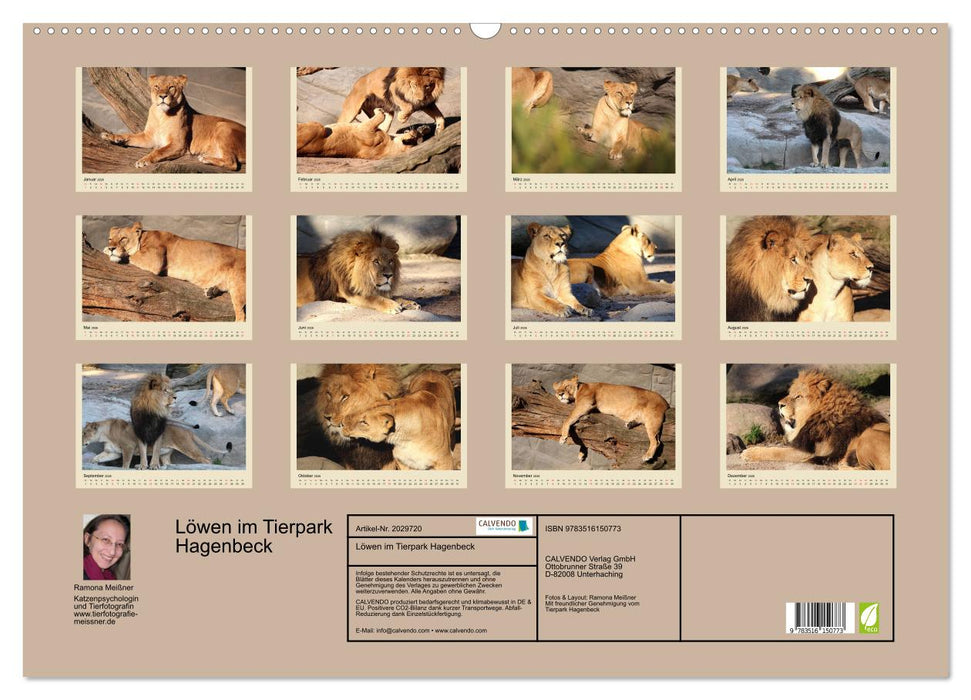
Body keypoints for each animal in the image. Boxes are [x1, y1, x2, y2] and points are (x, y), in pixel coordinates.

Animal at [83, 419, 228, 468]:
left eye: (84, 433)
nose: (82, 441)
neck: (105, 434)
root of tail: (187, 430)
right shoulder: (112, 452)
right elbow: (98, 457)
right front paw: (91, 463)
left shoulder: (128, 447)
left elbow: (125, 463)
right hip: (165, 454)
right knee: (168, 463)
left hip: (188, 447)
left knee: (207, 459)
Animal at [100, 74, 246, 171]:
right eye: (157, 86)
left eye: (171, 87)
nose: (162, 96)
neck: (161, 115)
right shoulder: (148, 138)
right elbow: (129, 135)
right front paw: (112, 137)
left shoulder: (178, 144)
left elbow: (158, 152)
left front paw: (143, 160)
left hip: (223, 126)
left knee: (232, 163)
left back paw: (206, 159)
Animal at [103, 222, 247, 322]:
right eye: (110, 239)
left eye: (123, 238)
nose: (111, 248)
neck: (143, 238)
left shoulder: (154, 259)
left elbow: (131, 255)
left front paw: (109, 252)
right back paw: (212, 290)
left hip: (238, 285)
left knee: (242, 315)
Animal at [297, 109, 431, 159]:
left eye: (413, 138)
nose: (415, 131)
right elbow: (386, 122)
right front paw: (424, 129)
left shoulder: (365, 130)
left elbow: (379, 117)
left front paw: (379, 110)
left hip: (318, 127)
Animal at [740, 370, 890, 470]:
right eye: (791, 393)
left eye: (798, 396)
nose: (779, 404)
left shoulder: (809, 451)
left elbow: (776, 451)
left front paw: (749, 452)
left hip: (869, 434)